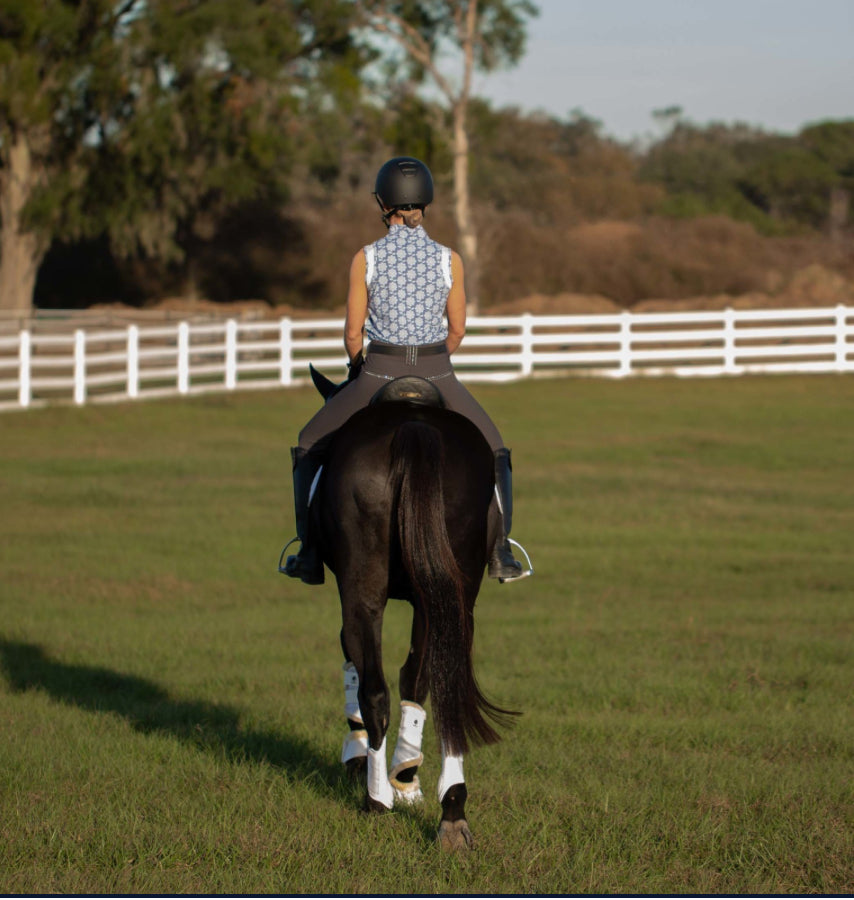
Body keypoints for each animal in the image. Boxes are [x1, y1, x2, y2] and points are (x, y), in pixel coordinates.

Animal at [300, 370, 520, 852]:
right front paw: (406, 774)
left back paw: (376, 799)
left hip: (363, 588)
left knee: (374, 690)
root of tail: (413, 427)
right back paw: (451, 811)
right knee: (446, 684)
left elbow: (357, 667)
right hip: (454, 594)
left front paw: (366, 761)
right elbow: (417, 680)